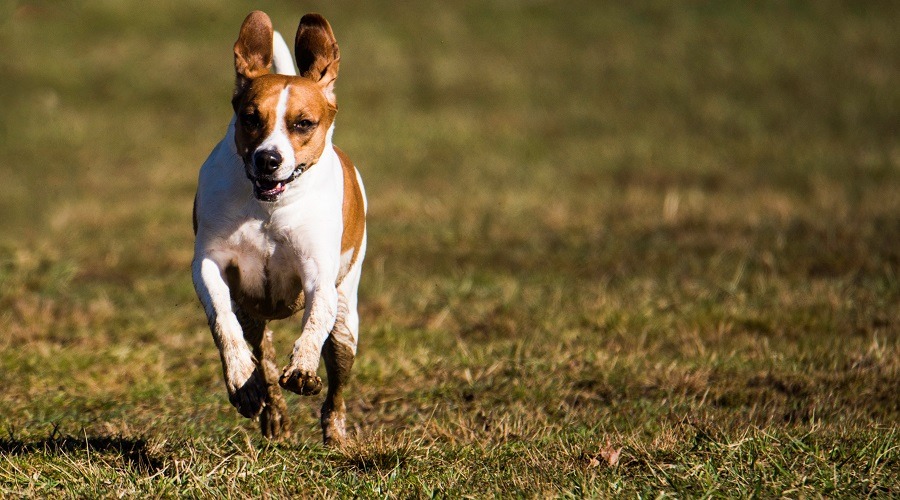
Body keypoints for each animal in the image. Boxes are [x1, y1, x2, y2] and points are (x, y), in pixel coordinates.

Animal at [192, 9, 366, 444]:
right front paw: (241, 378)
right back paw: (267, 406)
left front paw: (303, 367)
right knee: (262, 355)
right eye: (250, 118)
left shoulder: (318, 273)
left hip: (347, 323)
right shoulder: (209, 263)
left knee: (337, 380)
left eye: (303, 123)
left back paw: (336, 433)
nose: (268, 159)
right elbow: (221, 320)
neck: (268, 209)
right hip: (252, 312)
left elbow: (316, 317)